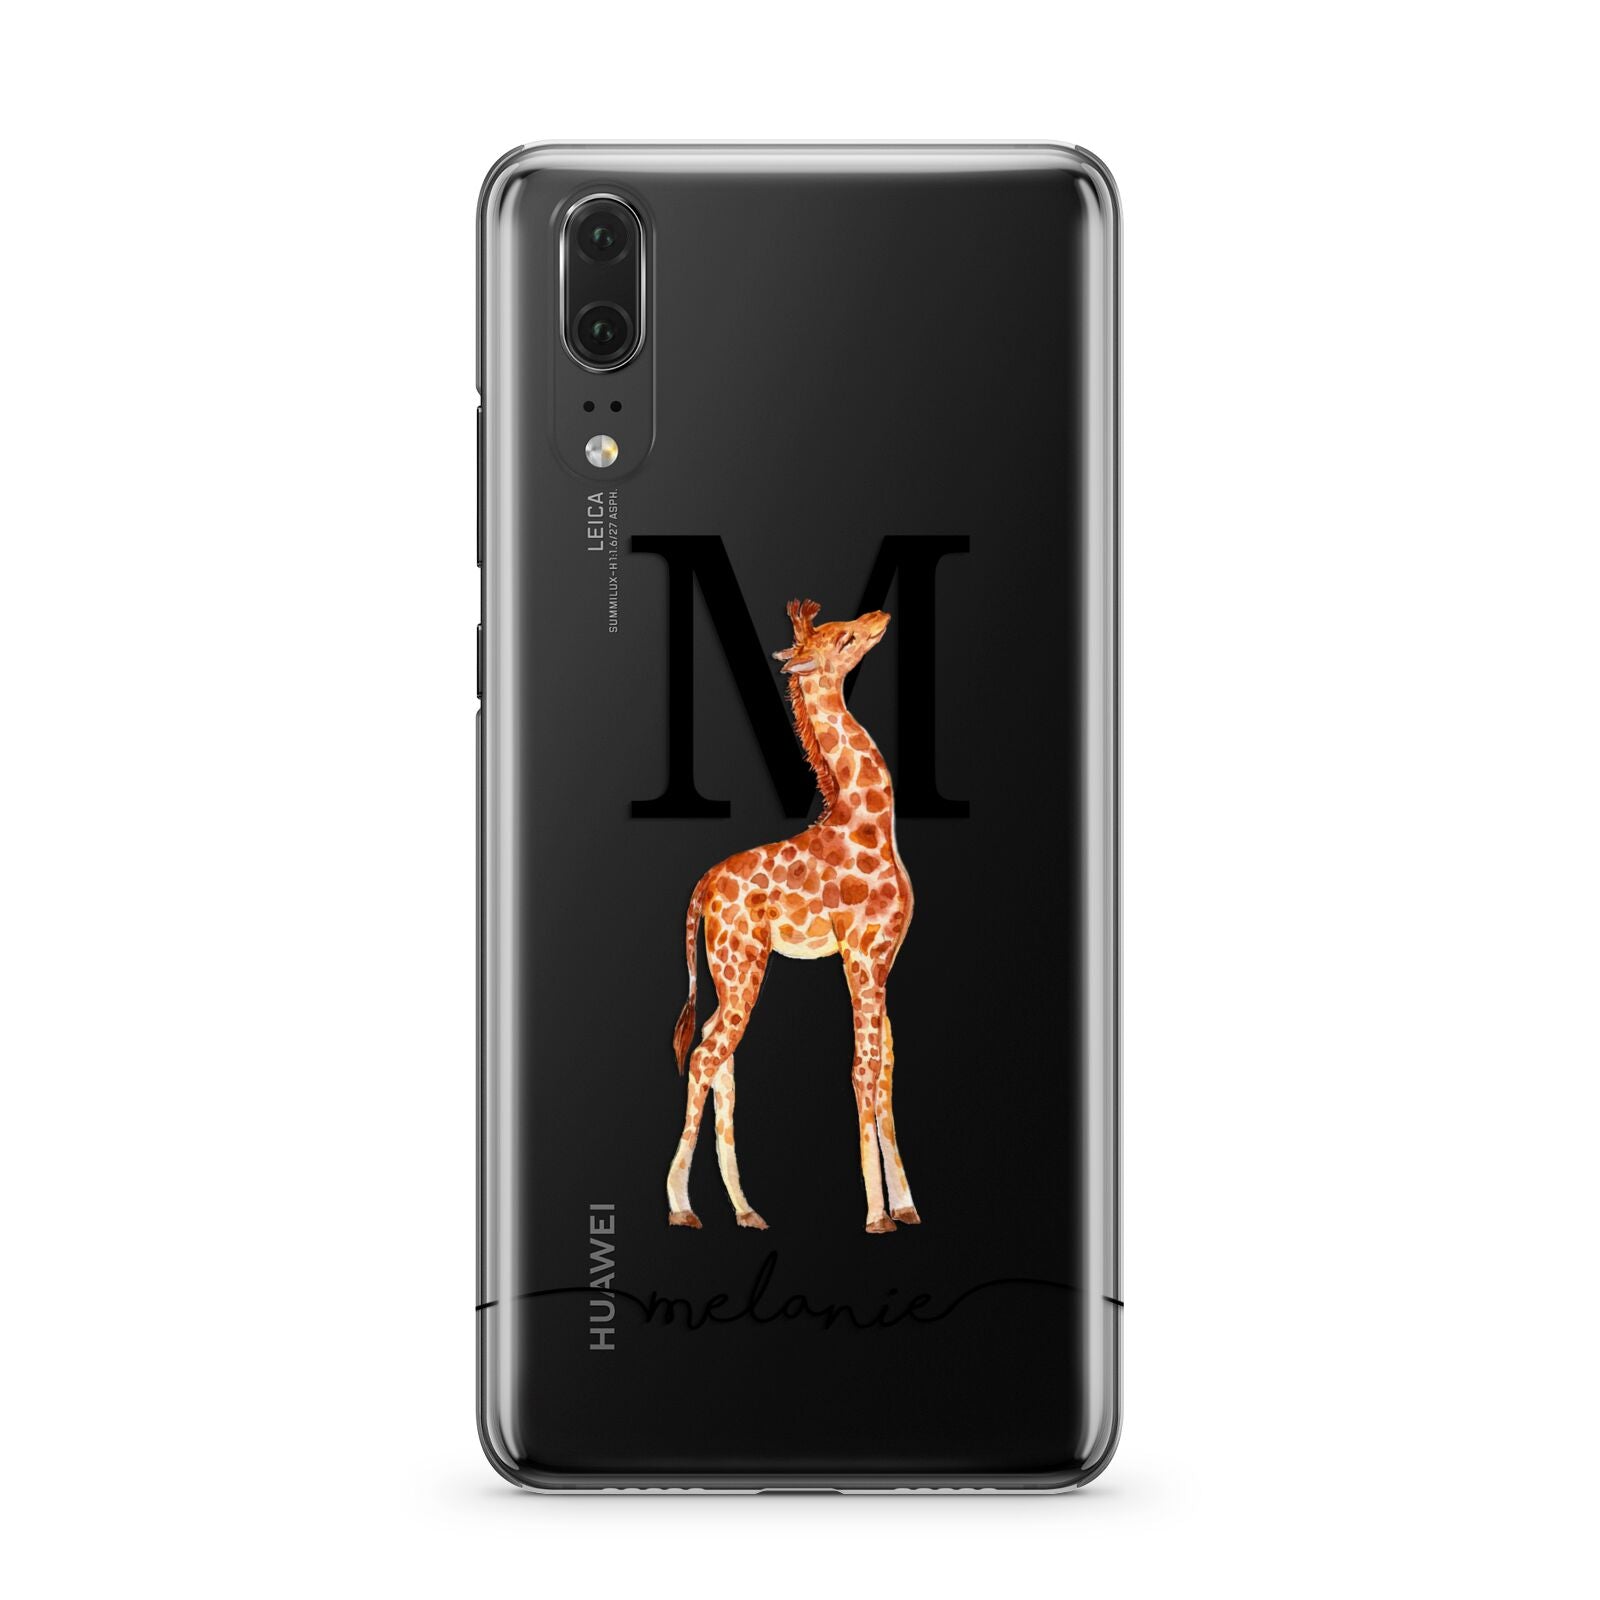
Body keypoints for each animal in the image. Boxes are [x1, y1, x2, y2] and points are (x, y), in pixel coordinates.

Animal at [664, 599, 919, 1235]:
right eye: (844, 637)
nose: (879, 617)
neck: (870, 823)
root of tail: (702, 888)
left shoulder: (885, 960)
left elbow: (887, 1069)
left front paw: (906, 1205)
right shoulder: (861, 953)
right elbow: (862, 1067)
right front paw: (876, 1214)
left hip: (732, 969)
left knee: (718, 1053)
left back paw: (746, 1210)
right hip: (741, 964)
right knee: (705, 1054)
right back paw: (682, 1207)